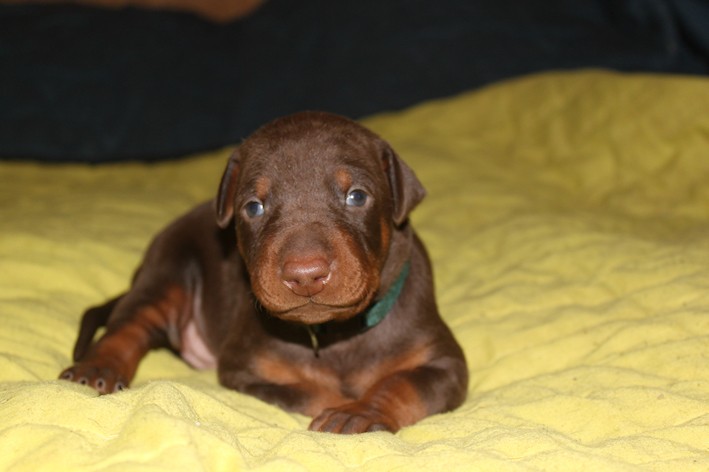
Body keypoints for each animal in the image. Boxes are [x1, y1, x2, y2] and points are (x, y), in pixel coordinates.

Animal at [58, 111, 468, 436]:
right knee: (129, 326)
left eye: (357, 196)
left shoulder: (444, 363)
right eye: (254, 206)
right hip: (168, 267)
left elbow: (402, 383)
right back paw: (96, 367)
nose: (305, 274)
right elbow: (303, 390)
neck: (335, 336)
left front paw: (360, 412)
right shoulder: (245, 368)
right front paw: (339, 402)